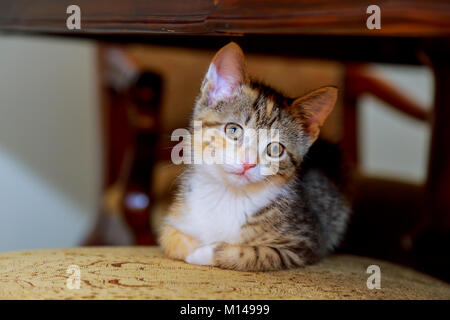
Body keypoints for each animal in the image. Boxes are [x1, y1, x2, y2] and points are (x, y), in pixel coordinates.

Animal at [158, 42, 352, 272]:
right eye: (233, 130)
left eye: (275, 149)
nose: (247, 163)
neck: (228, 195)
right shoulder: (175, 219)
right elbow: (170, 239)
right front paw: (192, 246)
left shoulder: (303, 243)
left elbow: (250, 253)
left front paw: (204, 252)